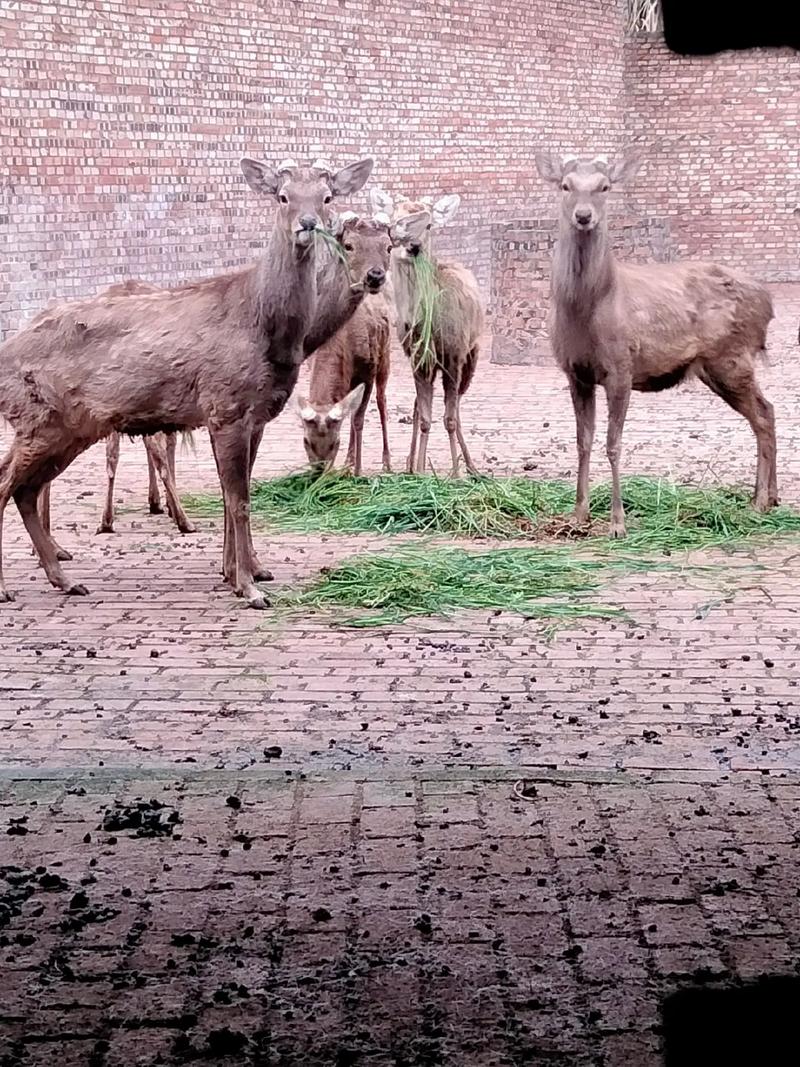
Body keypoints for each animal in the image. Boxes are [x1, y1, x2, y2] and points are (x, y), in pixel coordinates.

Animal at [0, 155, 376, 608]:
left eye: (327, 196)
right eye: (283, 196)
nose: (307, 223)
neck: (264, 325)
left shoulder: (254, 414)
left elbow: (234, 495)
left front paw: (238, 574)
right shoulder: (225, 404)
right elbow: (239, 500)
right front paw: (249, 586)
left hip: (68, 427)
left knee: (25, 489)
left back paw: (64, 579)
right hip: (39, 416)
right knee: (7, 484)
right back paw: (13, 586)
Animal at [296, 207, 430, 475]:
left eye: (388, 246)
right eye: (306, 441)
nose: (319, 471)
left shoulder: (368, 370)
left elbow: (358, 419)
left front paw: (357, 473)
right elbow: (350, 414)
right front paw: (348, 465)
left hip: (385, 357)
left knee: (381, 402)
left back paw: (386, 462)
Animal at [369, 189, 483, 477]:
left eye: (429, 224)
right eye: (396, 220)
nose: (413, 246)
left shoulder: (454, 353)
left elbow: (449, 418)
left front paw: (455, 473)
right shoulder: (417, 358)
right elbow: (424, 417)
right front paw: (420, 470)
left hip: (473, 353)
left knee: (458, 409)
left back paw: (472, 467)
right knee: (420, 407)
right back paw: (412, 463)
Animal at [535, 150, 777, 538]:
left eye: (605, 186)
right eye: (565, 185)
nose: (584, 216)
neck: (589, 309)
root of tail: (768, 303)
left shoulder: (621, 366)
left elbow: (613, 443)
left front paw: (618, 523)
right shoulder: (575, 372)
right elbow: (583, 441)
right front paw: (579, 515)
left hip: (731, 357)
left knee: (764, 415)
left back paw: (757, 503)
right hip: (719, 366)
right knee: (766, 411)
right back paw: (770, 499)